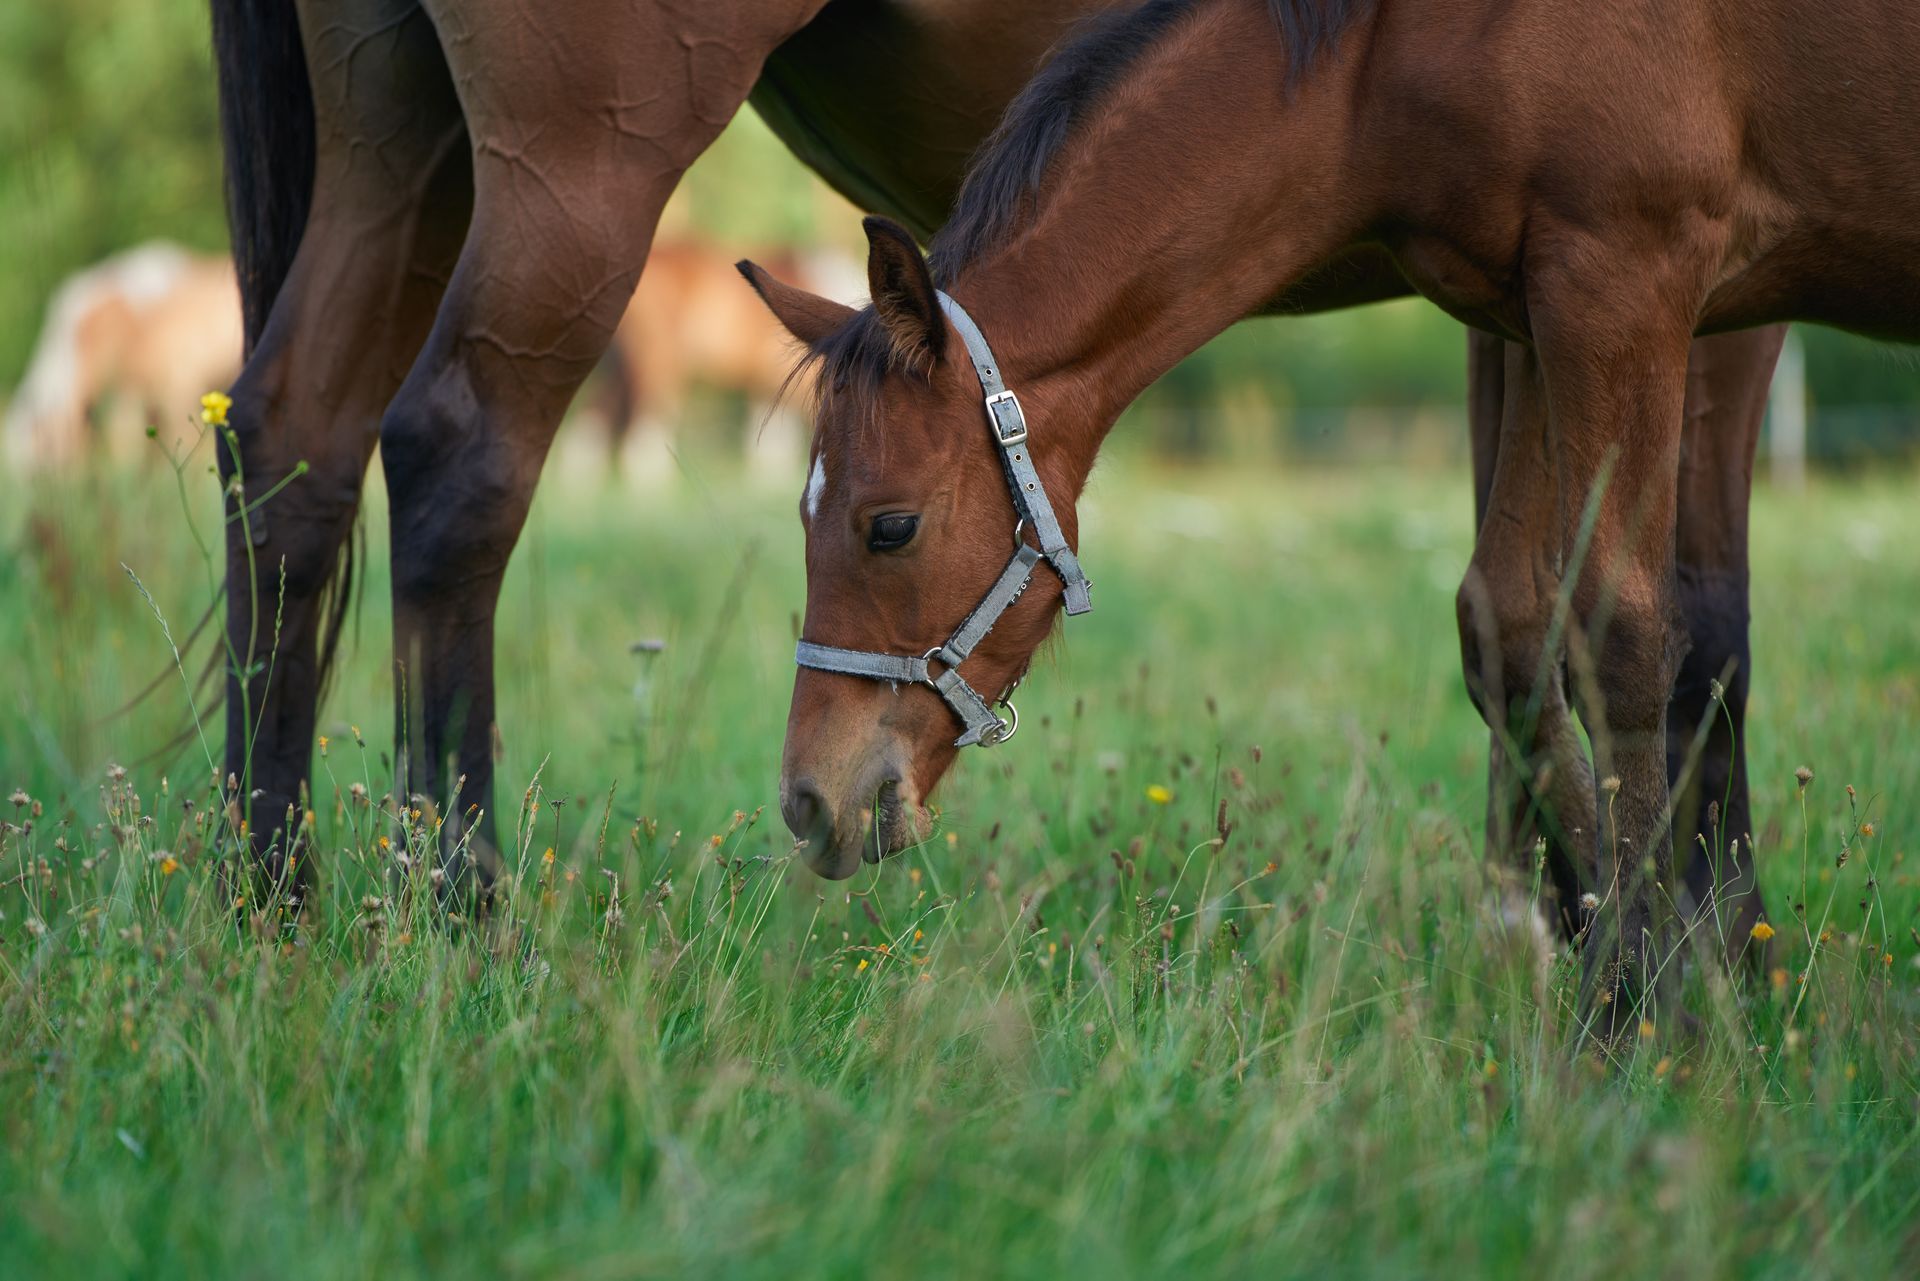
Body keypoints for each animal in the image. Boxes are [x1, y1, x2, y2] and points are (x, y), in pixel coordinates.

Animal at [206, 0, 1780, 931]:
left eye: (888, 530)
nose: (813, 802)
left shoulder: (1537, 281)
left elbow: (1525, 607)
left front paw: (1580, 920)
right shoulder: (1663, 279)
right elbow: (1682, 619)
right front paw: (1692, 946)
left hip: (394, 119)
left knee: (289, 444)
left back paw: (268, 898)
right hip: (581, 152)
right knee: (456, 454)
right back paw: (458, 915)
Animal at [746, 0, 1918, 1025]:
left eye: (889, 526)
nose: (809, 798)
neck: (1390, 47)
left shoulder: (1629, 280)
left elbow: (1625, 633)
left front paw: (1649, 1013)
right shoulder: (1532, 308)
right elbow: (1511, 625)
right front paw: (1634, 968)